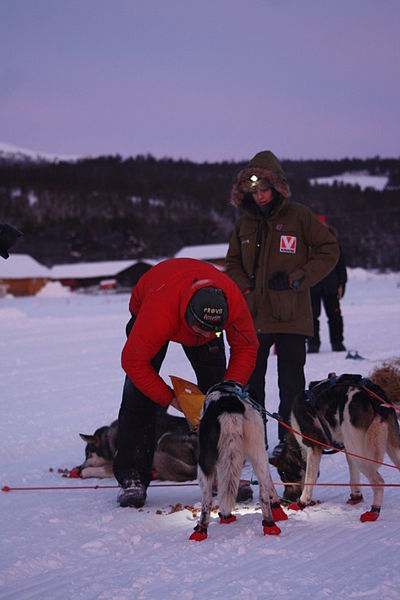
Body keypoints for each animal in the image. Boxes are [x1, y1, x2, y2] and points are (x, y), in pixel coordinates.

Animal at [189, 382, 286, 540]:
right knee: (263, 495)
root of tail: (228, 405)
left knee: (207, 500)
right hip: (255, 451)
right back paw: (269, 524)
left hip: (206, 461)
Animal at [268, 372, 400, 524]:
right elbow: (353, 477)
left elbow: (309, 481)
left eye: (286, 476)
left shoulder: (314, 449)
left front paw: (301, 503)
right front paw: (356, 497)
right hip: (385, 448)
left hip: (361, 453)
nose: (285, 500)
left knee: (378, 482)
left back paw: (374, 512)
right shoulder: (347, 449)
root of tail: (372, 394)